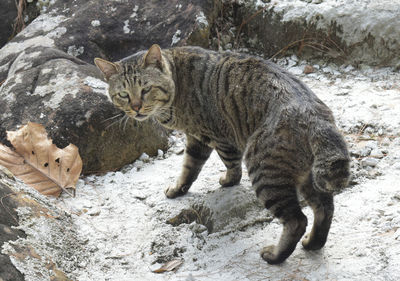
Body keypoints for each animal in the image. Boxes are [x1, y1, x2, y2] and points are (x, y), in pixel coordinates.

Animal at [94, 44, 350, 264]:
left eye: (146, 89)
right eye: (123, 94)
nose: (136, 108)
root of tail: (315, 117)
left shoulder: (214, 136)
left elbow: (221, 164)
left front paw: (226, 180)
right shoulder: (197, 139)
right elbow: (189, 167)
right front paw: (179, 188)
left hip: (264, 171)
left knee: (298, 220)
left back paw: (276, 255)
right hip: (307, 177)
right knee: (325, 208)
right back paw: (314, 243)